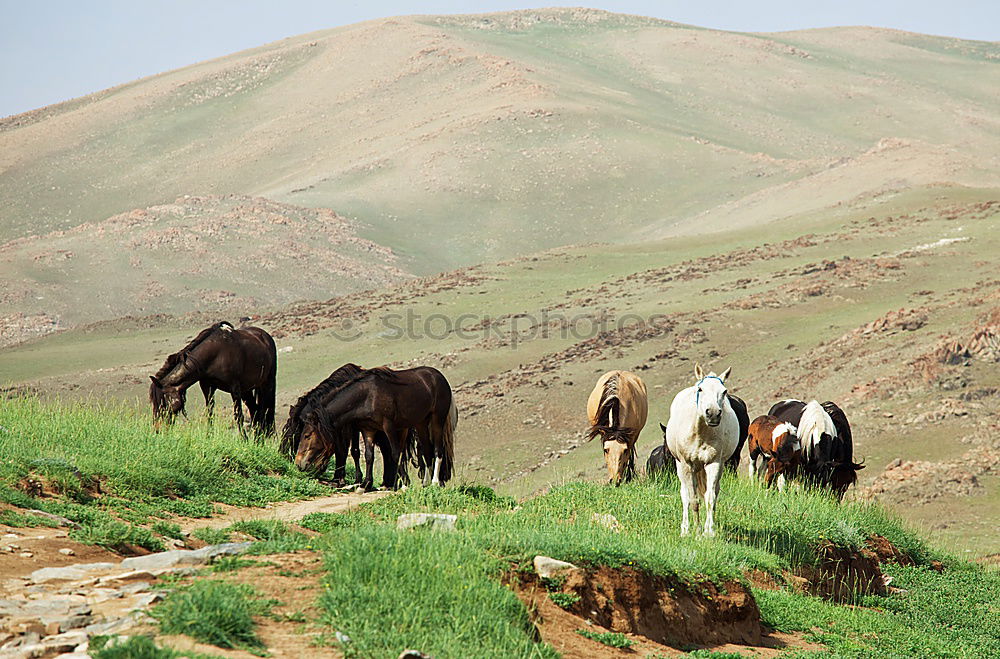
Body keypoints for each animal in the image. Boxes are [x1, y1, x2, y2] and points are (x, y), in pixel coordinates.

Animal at [148, 320, 276, 438]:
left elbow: (238, 415)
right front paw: (209, 436)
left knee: (264, 410)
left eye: (163, 402)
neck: (216, 354)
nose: (157, 430)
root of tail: (265, 336)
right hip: (247, 390)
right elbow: (210, 413)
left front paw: (243, 439)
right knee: (255, 411)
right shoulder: (207, 387)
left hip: (266, 384)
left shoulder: (235, 389)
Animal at [292, 366, 458, 490]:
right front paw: (364, 485)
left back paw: (434, 482)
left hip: (437, 420)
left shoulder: (389, 427)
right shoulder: (368, 429)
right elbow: (368, 455)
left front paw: (402, 485)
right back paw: (425, 483)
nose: (298, 463)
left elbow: (395, 453)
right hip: (421, 423)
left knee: (437, 450)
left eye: (307, 436)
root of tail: (439, 377)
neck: (367, 396)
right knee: (427, 451)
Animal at [664, 364, 744, 540]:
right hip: (681, 467)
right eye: (700, 389)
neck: (701, 433)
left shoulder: (714, 463)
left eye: (724, 391)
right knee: (685, 495)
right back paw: (685, 529)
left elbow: (710, 497)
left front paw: (709, 531)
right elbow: (693, 500)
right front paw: (697, 532)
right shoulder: (687, 465)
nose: (713, 413)